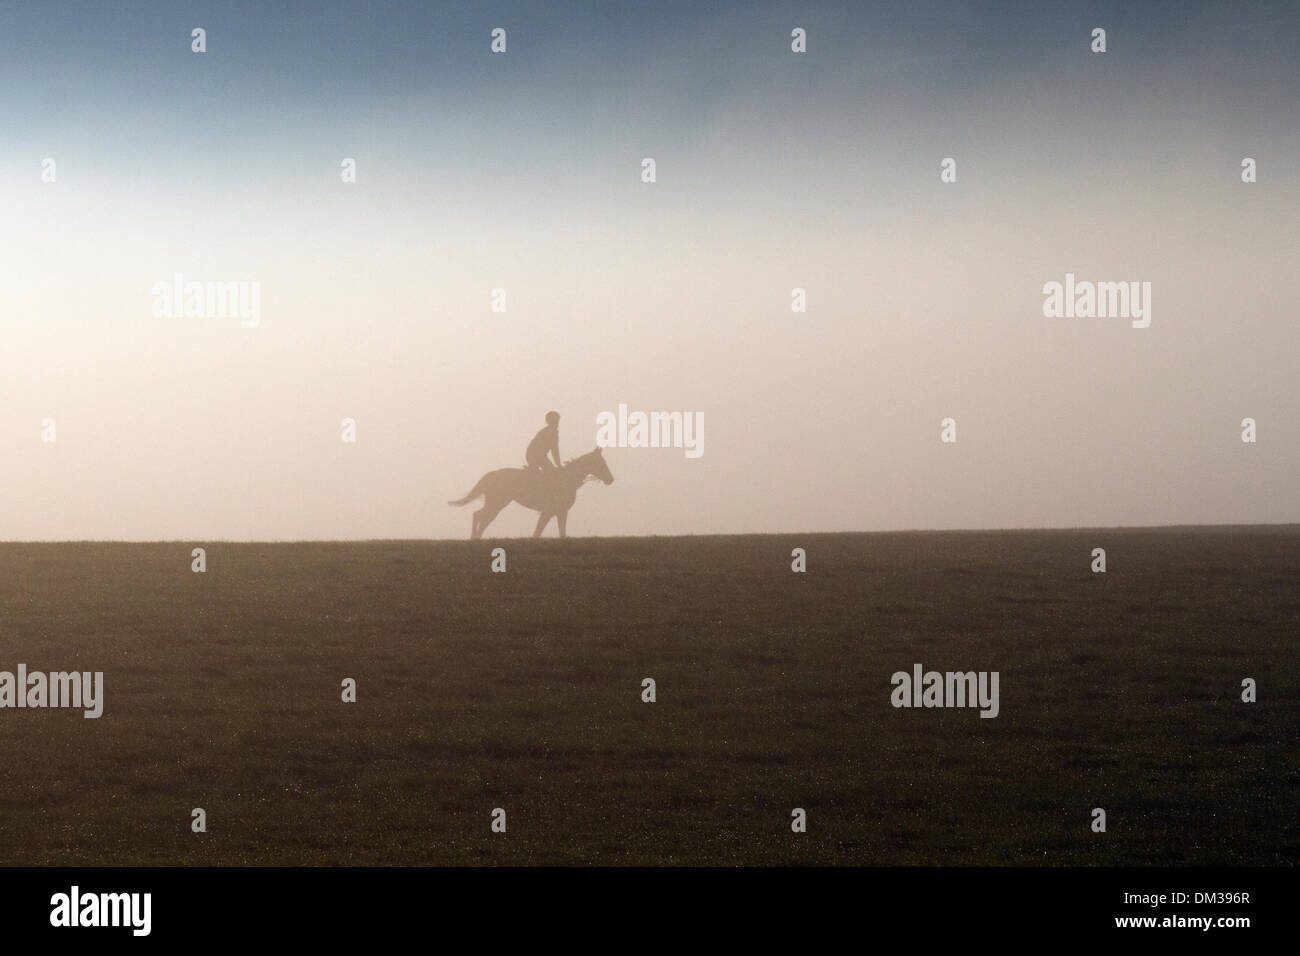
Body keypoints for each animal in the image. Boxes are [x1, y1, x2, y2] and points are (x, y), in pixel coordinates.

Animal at [452, 447, 613, 538]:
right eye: (602, 463)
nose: (610, 479)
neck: (567, 479)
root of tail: (492, 474)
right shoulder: (549, 511)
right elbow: (538, 532)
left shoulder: (559, 512)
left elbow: (556, 532)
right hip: (497, 503)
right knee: (480, 516)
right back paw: (475, 537)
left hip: (497, 503)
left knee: (482, 517)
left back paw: (476, 537)